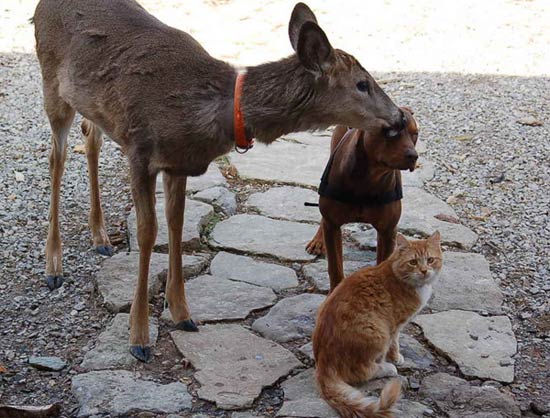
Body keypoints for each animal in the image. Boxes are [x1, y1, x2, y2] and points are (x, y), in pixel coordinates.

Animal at [34, 0, 406, 360]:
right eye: (362, 84)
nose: (400, 116)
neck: (210, 114)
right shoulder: (139, 149)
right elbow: (147, 233)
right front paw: (139, 337)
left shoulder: (176, 164)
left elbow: (176, 223)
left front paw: (182, 313)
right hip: (52, 83)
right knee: (56, 158)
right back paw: (53, 265)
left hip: (89, 104)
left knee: (90, 137)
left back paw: (99, 237)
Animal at [308, 108, 420, 290]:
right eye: (391, 133)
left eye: (415, 134)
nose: (413, 156)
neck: (369, 179)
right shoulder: (333, 225)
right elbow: (335, 266)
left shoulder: (388, 230)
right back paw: (318, 241)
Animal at [314, 232, 444, 418]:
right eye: (413, 262)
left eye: (431, 260)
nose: (424, 271)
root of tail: (322, 362)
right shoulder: (395, 325)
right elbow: (395, 344)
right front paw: (396, 358)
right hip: (378, 333)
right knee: (362, 372)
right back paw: (387, 368)